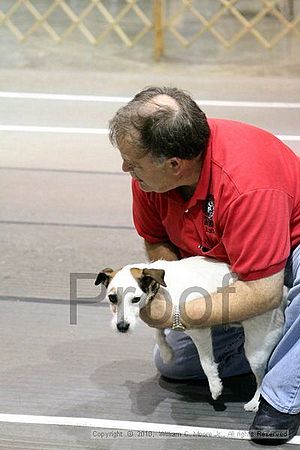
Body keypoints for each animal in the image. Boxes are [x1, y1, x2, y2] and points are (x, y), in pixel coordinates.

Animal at [95, 256, 286, 412]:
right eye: (112, 298)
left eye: (135, 299)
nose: (122, 326)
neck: (162, 287)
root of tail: (282, 295)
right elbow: (158, 334)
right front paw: (166, 352)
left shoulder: (200, 331)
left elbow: (206, 363)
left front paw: (215, 386)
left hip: (256, 352)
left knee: (262, 378)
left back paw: (254, 402)